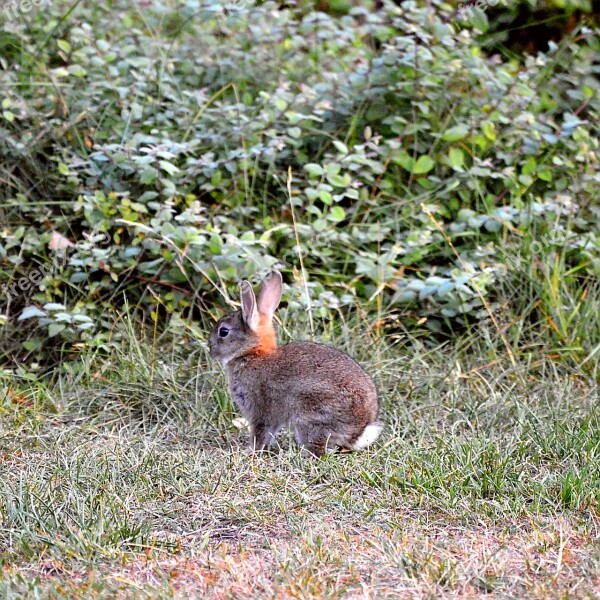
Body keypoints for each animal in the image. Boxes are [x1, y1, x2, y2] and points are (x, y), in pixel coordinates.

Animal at [209, 270, 382, 458]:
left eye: (224, 331)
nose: (211, 350)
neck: (252, 353)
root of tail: (358, 433)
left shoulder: (260, 411)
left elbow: (259, 434)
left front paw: (250, 451)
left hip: (309, 417)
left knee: (318, 450)